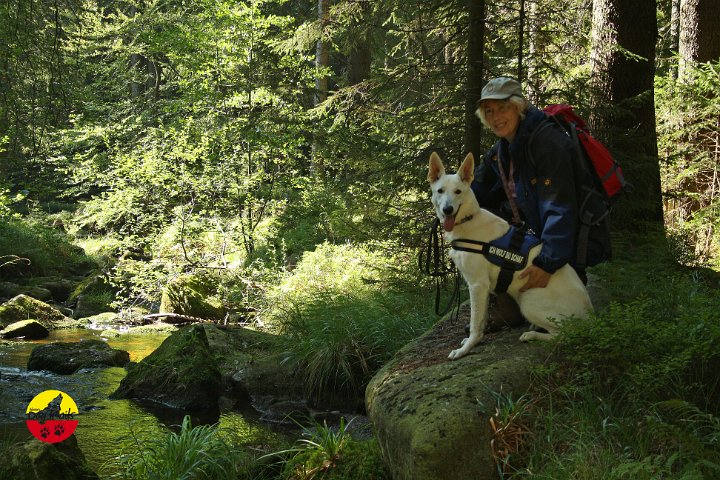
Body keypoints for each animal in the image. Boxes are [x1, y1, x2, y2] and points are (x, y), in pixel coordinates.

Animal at [428, 151, 593, 360]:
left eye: (458, 192)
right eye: (440, 191)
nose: (447, 210)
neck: (468, 219)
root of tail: (591, 315)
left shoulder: (477, 284)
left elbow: (475, 323)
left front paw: (465, 349)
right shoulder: (482, 288)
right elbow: (481, 320)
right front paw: (474, 341)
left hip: (527, 300)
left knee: (564, 333)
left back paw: (531, 334)